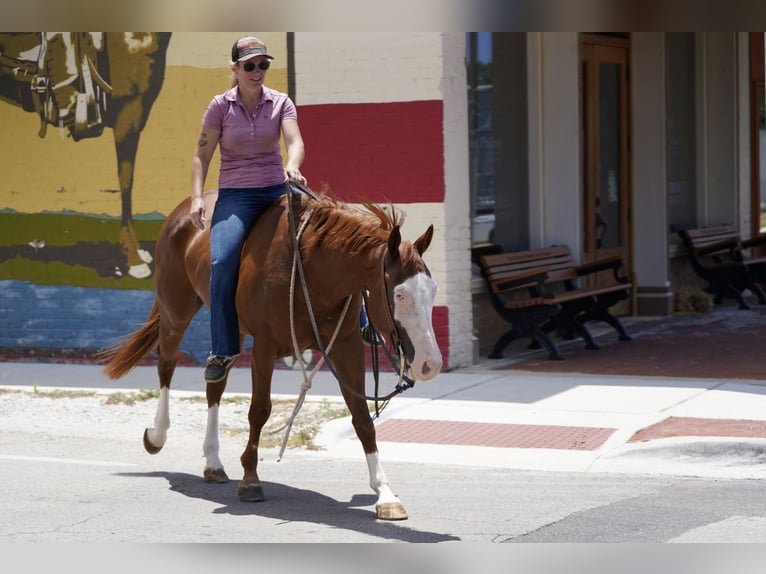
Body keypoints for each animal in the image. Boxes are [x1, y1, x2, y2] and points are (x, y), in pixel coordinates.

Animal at [100, 184, 444, 520]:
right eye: (399, 294)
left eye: (433, 291)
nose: (430, 364)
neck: (312, 272)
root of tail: (185, 209)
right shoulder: (265, 347)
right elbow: (259, 410)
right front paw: (250, 480)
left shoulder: (345, 347)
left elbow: (361, 418)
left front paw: (385, 493)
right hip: (176, 311)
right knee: (167, 365)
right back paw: (157, 435)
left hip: (230, 330)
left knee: (215, 384)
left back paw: (213, 462)